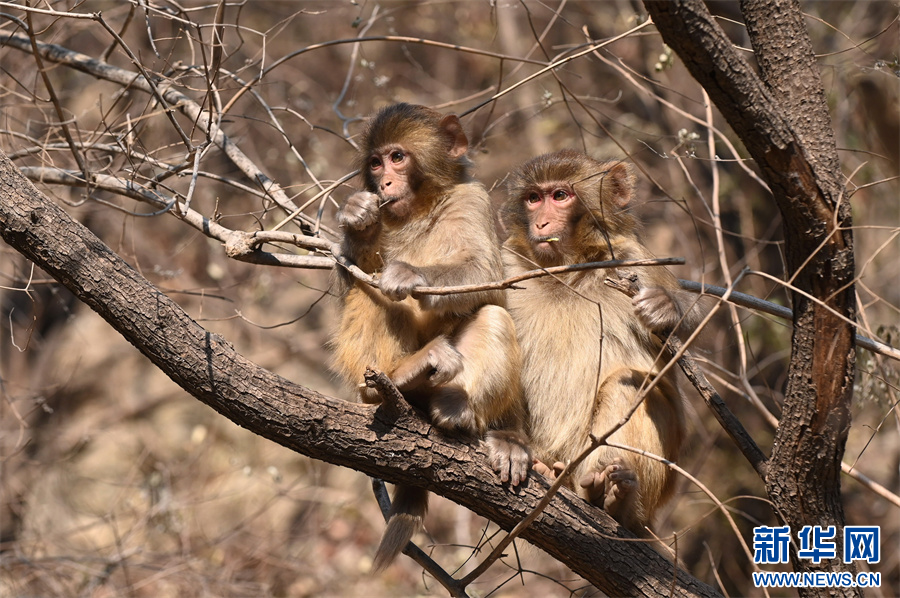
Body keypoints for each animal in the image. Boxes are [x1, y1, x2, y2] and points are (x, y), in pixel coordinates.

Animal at [328, 103, 528, 572]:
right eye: (375, 163)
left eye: (398, 157)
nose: (384, 182)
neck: (419, 209)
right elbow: (351, 276)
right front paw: (360, 220)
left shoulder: (473, 199)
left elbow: (487, 281)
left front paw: (409, 274)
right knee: (369, 294)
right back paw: (395, 379)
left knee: (493, 318)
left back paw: (456, 411)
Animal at [500, 151, 696, 540]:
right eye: (533, 198)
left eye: (560, 196)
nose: (541, 223)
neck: (568, 271)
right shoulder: (508, 263)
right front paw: (506, 445)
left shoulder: (636, 263)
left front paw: (665, 308)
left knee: (629, 384)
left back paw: (615, 501)